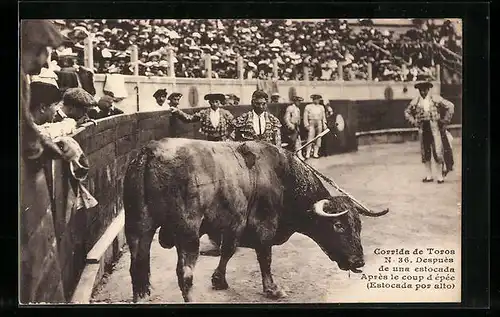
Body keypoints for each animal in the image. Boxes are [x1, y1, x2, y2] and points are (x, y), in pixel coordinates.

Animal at [123, 138, 388, 302]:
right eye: (338, 225)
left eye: (359, 226)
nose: (359, 262)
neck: (282, 177)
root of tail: (150, 152)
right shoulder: (264, 226)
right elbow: (265, 257)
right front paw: (273, 289)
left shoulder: (234, 225)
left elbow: (228, 251)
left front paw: (219, 280)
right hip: (187, 231)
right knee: (184, 273)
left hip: (137, 226)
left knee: (137, 268)